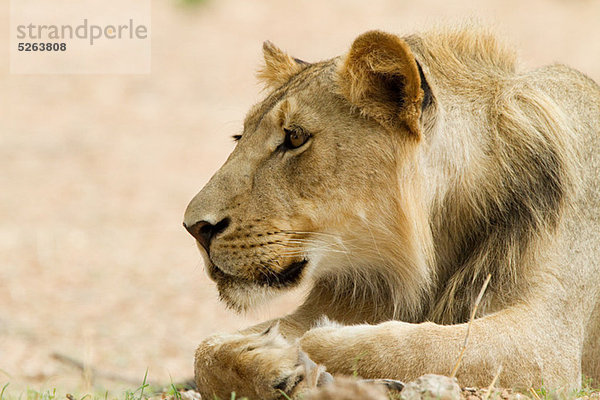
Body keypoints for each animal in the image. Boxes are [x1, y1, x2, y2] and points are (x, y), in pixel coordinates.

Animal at [183, 26, 600, 398]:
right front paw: (279, 366)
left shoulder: (547, 343)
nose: (195, 228)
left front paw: (313, 346)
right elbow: (205, 350)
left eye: (295, 137)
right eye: (240, 137)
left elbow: (415, 345)